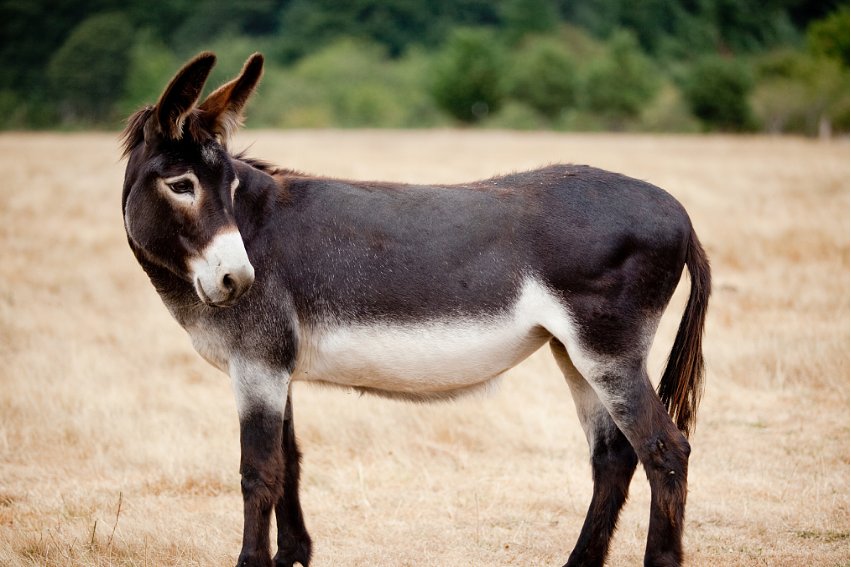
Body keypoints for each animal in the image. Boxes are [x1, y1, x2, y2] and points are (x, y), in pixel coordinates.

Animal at [120, 52, 710, 567]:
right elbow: (289, 463)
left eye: (231, 184)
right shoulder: (274, 367)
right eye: (181, 184)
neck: (255, 227)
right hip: (575, 353)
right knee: (613, 456)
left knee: (665, 450)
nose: (237, 281)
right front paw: (293, 556)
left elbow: (257, 473)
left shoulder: (257, 367)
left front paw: (256, 561)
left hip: (608, 353)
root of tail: (680, 211)